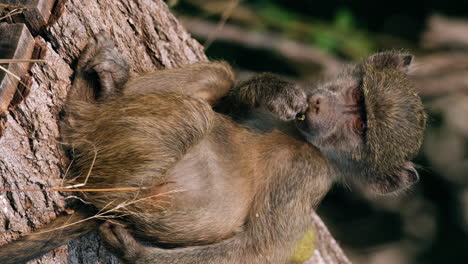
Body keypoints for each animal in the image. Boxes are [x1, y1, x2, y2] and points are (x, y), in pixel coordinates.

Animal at [0, 33, 426, 264]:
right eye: (357, 96)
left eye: (361, 125)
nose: (319, 105)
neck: (302, 139)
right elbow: (234, 102)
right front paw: (272, 91)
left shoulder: (308, 178)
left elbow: (257, 250)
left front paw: (136, 254)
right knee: (215, 79)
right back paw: (103, 86)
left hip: (120, 171)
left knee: (190, 118)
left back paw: (84, 116)